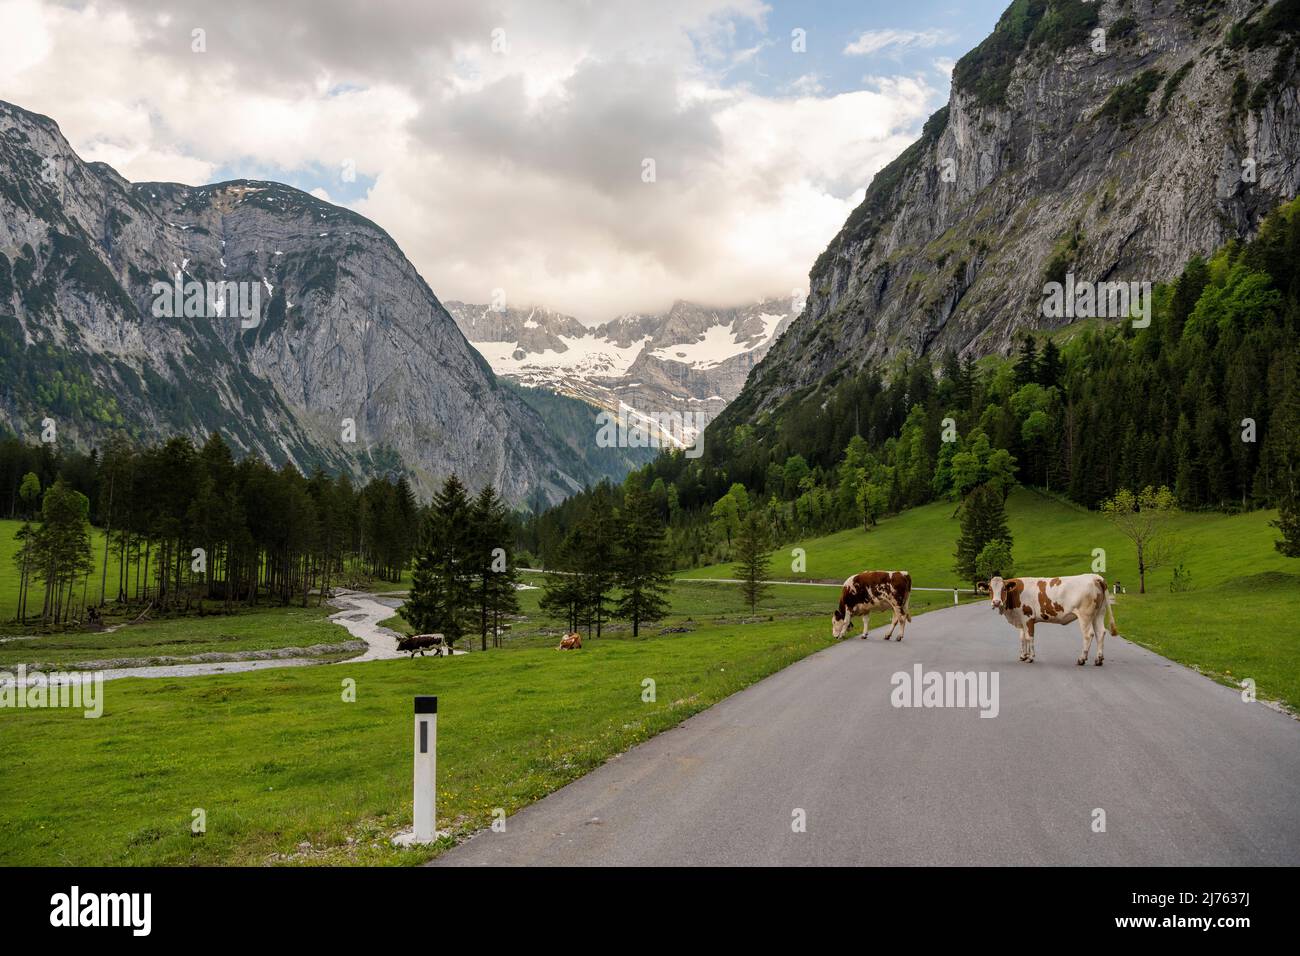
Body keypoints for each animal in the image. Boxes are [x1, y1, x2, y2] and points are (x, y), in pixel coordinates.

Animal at [982, 574, 1118, 665]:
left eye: (1004, 589)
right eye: (990, 589)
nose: (996, 602)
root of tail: (1095, 577)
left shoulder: (1028, 617)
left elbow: (1029, 637)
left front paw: (1030, 657)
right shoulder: (1021, 619)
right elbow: (1022, 638)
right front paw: (1023, 656)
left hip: (1085, 615)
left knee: (1088, 634)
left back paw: (1082, 659)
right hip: (1099, 613)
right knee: (1101, 632)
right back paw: (1098, 659)